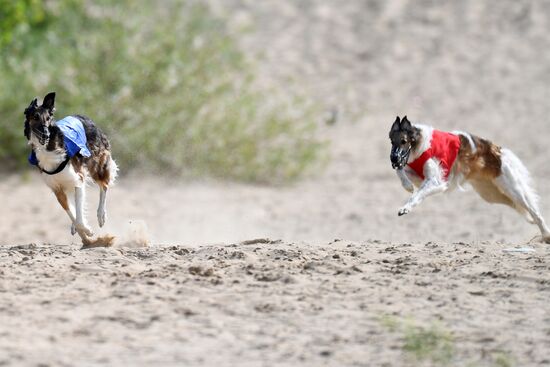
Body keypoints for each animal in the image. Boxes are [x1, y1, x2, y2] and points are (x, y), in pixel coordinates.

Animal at [24, 93, 118, 246]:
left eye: (48, 118)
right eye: (35, 117)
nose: (46, 134)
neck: (48, 148)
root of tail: (84, 117)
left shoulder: (78, 178)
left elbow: (79, 216)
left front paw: (88, 231)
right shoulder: (57, 189)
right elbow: (72, 212)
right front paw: (84, 233)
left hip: (96, 165)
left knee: (104, 185)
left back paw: (101, 216)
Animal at [390, 115, 550, 243]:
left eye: (403, 141)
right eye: (391, 141)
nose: (393, 159)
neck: (419, 144)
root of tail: (498, 150)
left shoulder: (436, 180)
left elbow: (416, 195)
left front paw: (405, 208)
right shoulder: (419, 174)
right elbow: (402, 172)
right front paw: (407, 185)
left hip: (512, 188)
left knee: (534, 212)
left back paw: (546, 234)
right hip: (491, 194)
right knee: (521, 208)